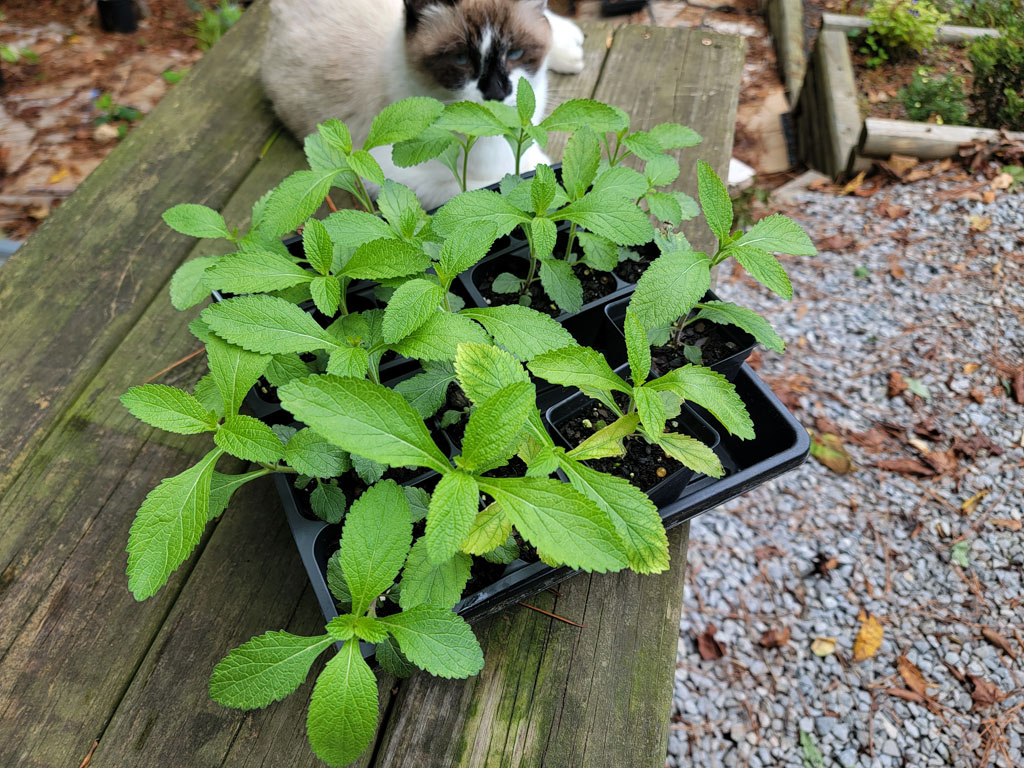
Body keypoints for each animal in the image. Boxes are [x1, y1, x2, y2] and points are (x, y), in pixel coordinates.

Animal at [262, 0, 585, 207]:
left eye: (515, 54)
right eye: (461, 60)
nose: (496, 92)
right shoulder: (389, 174)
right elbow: (502, 184)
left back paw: (572, 46)